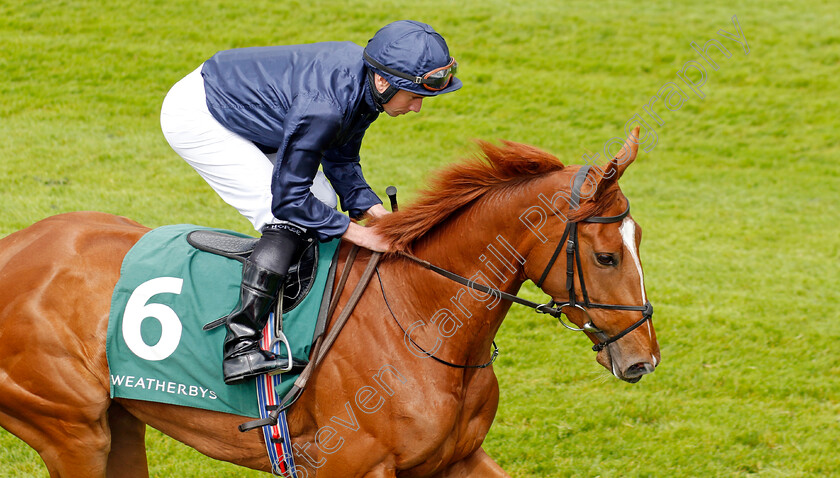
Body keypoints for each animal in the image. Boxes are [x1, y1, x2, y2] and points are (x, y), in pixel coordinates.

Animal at [0, 129, 656, 476]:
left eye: (640, 240)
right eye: (606, 257)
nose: (643, 358)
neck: (423, 320)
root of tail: (16, 247)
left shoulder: (457, 458)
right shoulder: (350, 464)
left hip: (119, 421)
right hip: (70, 429)